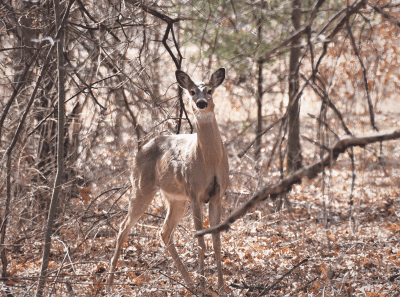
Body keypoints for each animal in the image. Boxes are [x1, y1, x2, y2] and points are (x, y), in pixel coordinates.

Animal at [106, 68, 230, 292]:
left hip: (176, 198)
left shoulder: (217, 194)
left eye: (209, 90)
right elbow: (200, 241)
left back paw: (188, 282)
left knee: (164, 232)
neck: (210, 160)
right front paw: (204, 286)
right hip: (142, 187)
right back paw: (109, 285)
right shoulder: (195, 192)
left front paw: (221, 288)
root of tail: (139, 151)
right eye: (191, 92)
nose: (201, 103)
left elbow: (216, 241)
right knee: (123, 228)